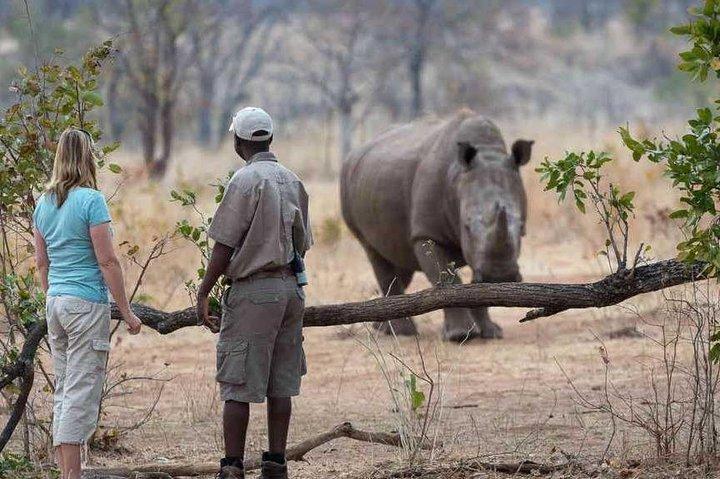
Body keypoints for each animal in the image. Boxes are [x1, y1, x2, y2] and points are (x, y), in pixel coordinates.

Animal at [340, 110, 533, 341]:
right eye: (467, 226)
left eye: (521, 227)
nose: (499, 277)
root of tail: (353, 154)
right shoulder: (426, 233)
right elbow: (445, 278)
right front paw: (460, 336)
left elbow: (476, 286)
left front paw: (491, 333)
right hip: (347, 185)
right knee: (374, 252)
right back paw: (403, 333)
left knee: (398, 259)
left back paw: (382, 328)